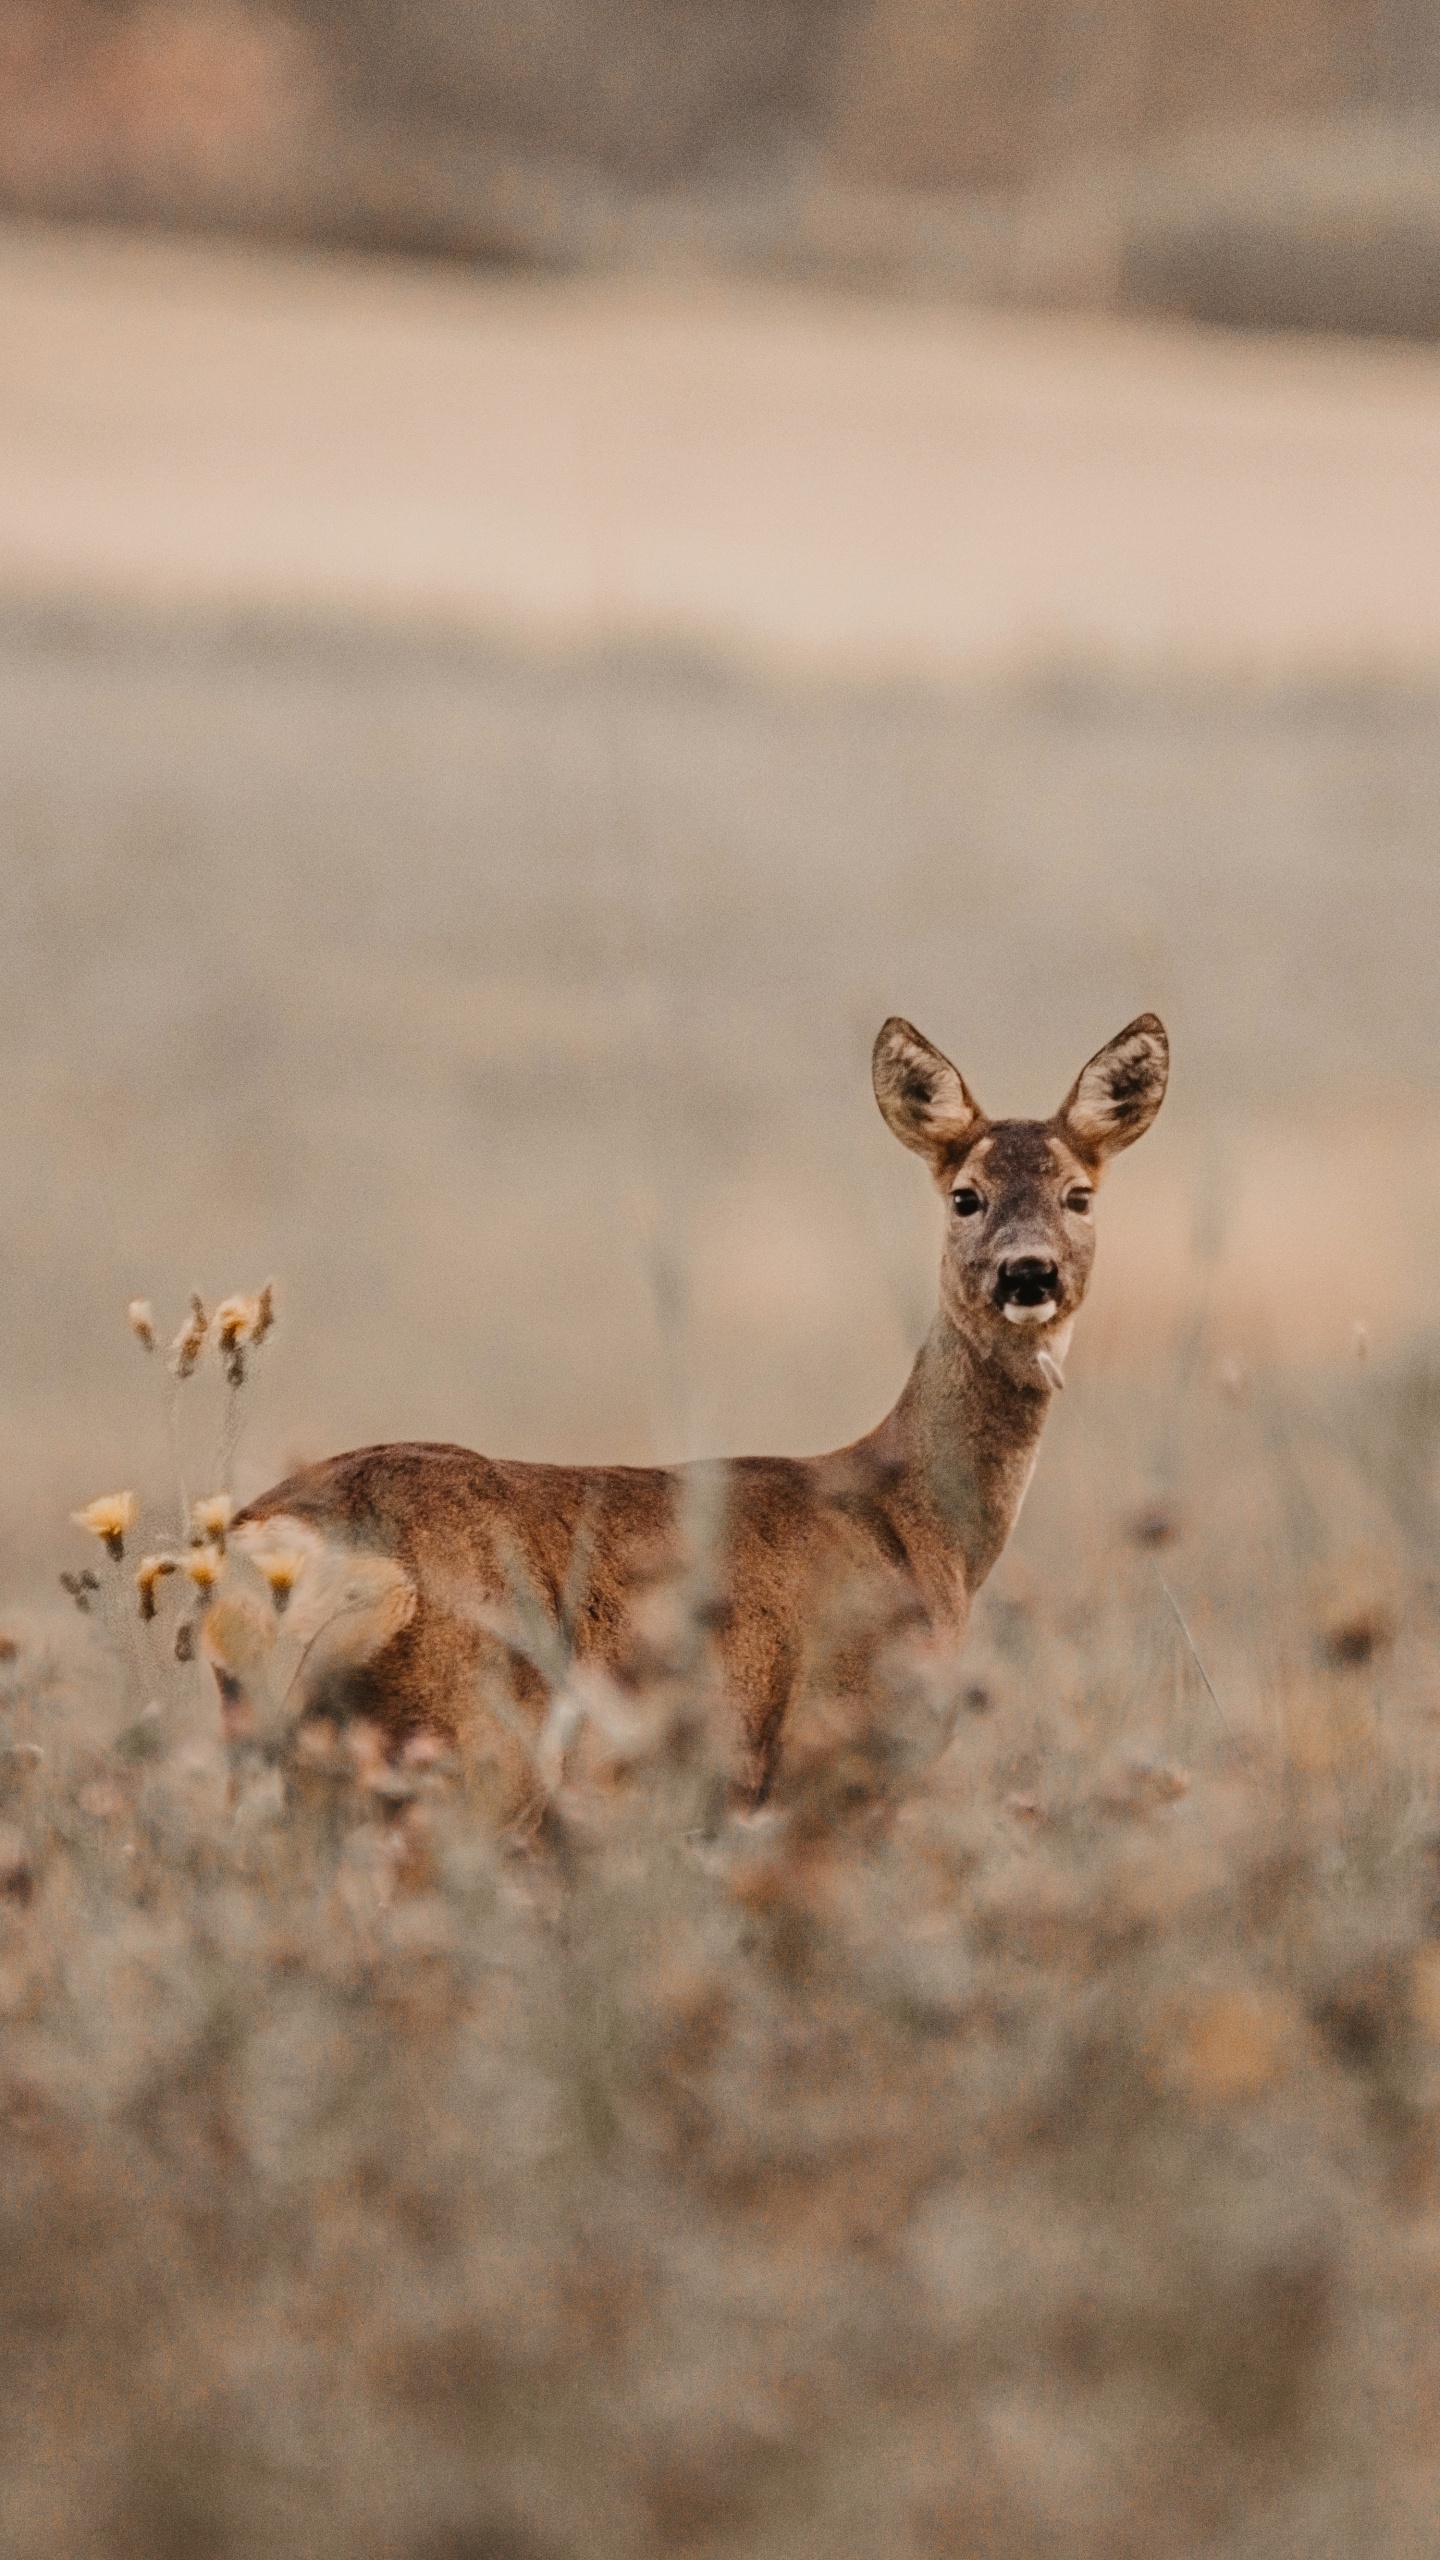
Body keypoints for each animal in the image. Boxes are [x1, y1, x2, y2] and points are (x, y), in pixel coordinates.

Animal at [224, 1008, 1168, 1812]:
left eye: (1079, 1195)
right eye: (965, 1195)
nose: (1028, 1272)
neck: (919, 1526)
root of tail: (283, 1538)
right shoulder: (830, 1757)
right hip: (461, 1738)